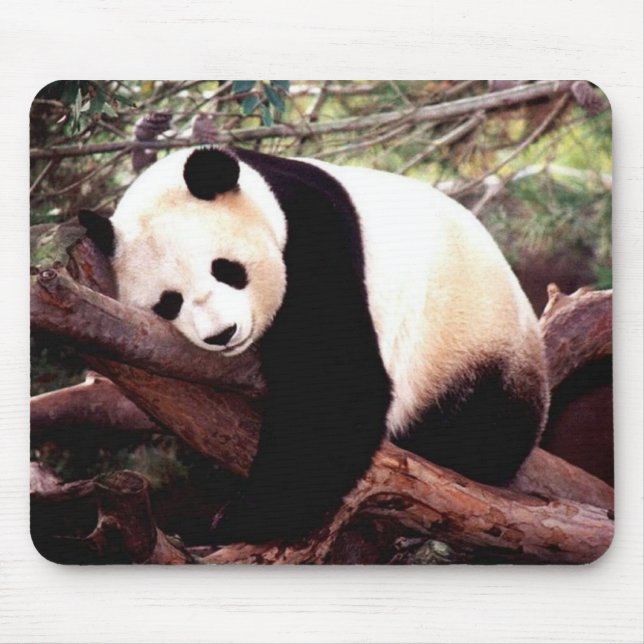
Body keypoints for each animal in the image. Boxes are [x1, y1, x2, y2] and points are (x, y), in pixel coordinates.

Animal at [80, 146, 549, 544]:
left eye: (227, 269)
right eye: (169, 302)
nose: (222, 334)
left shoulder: (314, 238)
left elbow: (335, 389)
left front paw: (239, 520)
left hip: (469, 343)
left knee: (482, 431)